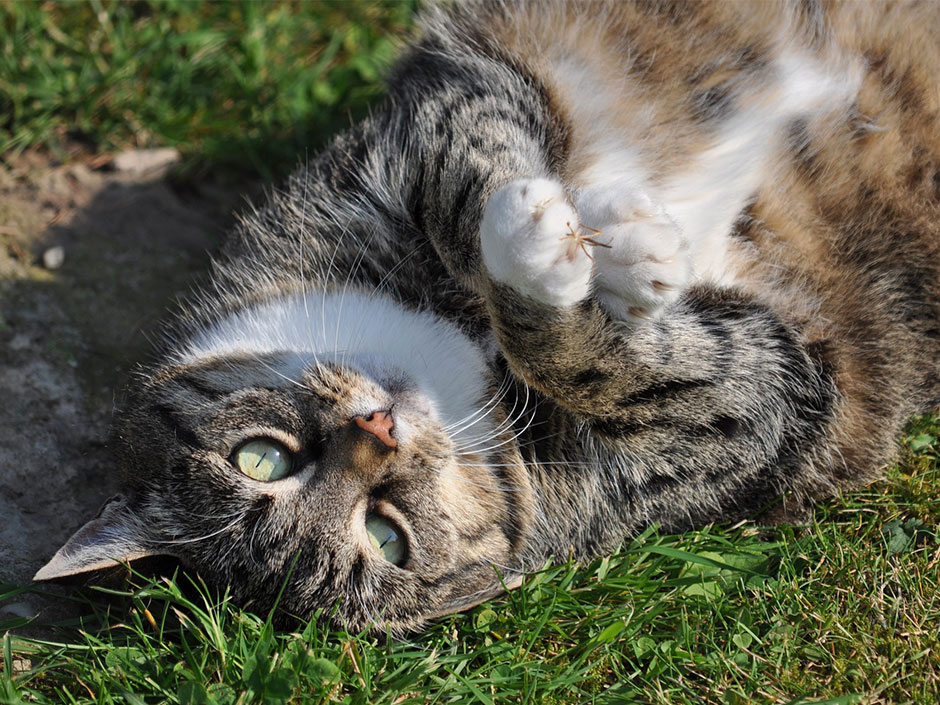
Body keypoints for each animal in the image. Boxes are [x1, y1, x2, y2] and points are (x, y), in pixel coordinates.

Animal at [33, 0, 940, 628]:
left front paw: (607, 233)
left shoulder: (442, 105)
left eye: (260, 457)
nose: (379, 430)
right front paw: (574, 259)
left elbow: (467, 179)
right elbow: (607, 362)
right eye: (386, 534)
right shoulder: (759, 404)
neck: (459, 351)